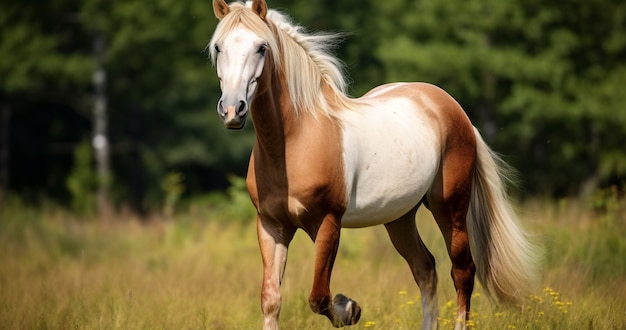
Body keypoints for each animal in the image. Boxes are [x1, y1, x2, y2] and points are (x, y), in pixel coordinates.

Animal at [207, 1, 532, 328]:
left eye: (261, 47)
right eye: (218, 47)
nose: (232, 110)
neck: (296, 140)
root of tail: (454, 110)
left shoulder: (328, 222)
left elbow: (319, 296)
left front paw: (350, 308)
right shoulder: (271, 226)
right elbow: (272, 299)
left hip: (450, 208)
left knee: (462, 271)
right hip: (400, 217)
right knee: (426, 268)